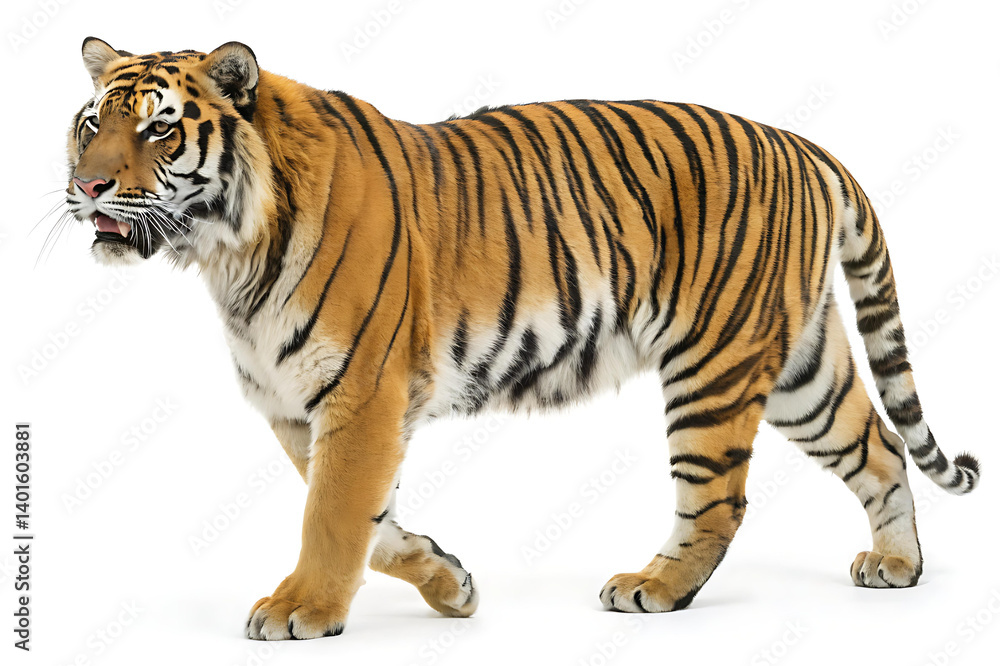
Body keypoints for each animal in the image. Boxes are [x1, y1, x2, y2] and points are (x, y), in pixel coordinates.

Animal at [63, 37, 980, 640]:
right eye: (89, 125)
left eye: (158, 129)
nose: (87, 186)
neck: (228, 252)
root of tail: (801, 142)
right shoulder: (299, 406)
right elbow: (369, 520)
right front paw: (450, 585)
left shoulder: (361, 393)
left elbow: (331, 514)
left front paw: (304, 610)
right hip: (800, 367)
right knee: (881, 448)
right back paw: (898, 567)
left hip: (714, 363)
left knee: (720, 497)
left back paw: (654, 587)